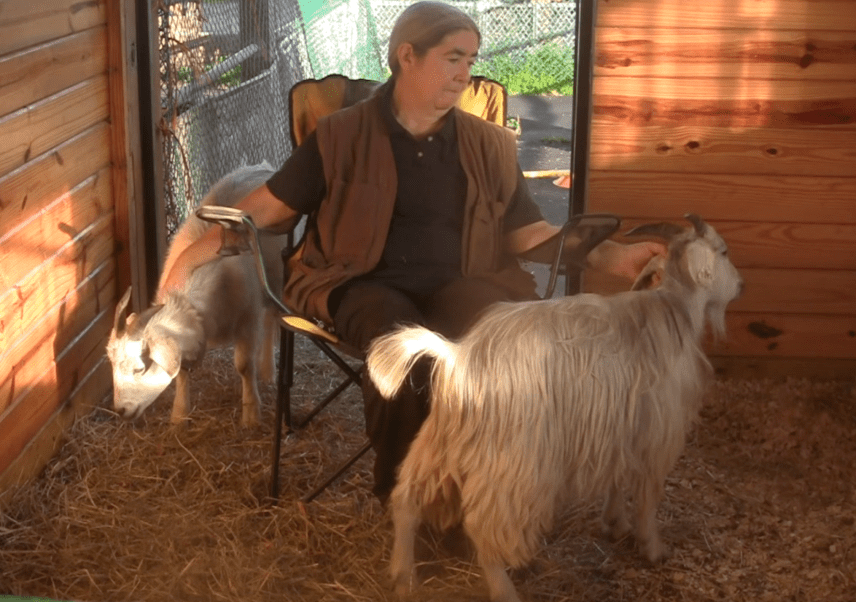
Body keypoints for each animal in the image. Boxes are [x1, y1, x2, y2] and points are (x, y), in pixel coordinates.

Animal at [106, 163, 285, 427]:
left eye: (140, 368)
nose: (121, 411)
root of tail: (262, 166)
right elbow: (182, 371)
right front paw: (179, 415)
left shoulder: (248, 318)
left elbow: (244, 366)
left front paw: (251, 414)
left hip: (277, 276)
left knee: (271, 319)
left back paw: (268, 372)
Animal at [366, 214, 743, 602]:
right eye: (724, 251)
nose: (741, 287)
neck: (674, 310)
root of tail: (458, 356)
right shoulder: (656, 435)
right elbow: (647, 498)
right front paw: (652, 547)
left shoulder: (620, 430)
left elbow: (617, 480)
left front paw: (615, 522)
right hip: (515, 461)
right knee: (483, 526)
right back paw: (504, 589)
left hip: (440, 440)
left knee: (407, 499)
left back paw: (404, 576)